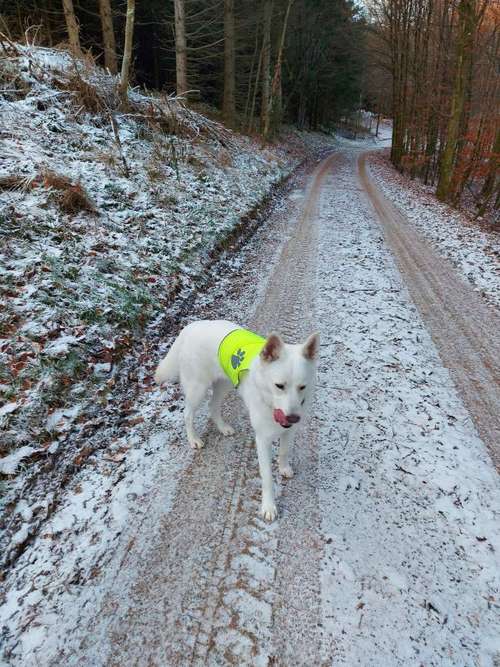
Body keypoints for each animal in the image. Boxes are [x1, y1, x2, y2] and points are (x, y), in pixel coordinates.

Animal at [156, 320, 318, 520]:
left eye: (302, 387)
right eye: (279, 386)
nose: (294, 417)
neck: (268, 398)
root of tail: (192, 326)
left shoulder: (289, 431)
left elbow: (284, 452)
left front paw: (283, 467)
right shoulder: (262, 439)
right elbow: (267, 477)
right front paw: (268, 506)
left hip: (225, 383)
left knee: (212, 406)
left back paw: (223, 427)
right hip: (197, 389)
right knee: (187, 414)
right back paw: (193, 439)